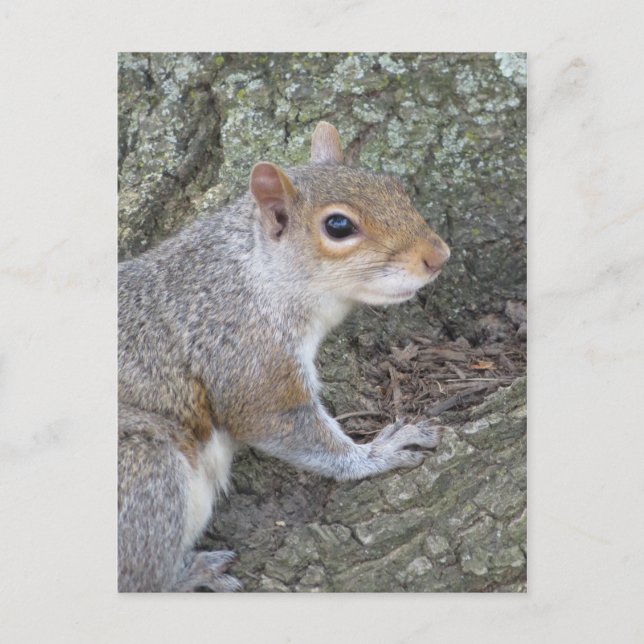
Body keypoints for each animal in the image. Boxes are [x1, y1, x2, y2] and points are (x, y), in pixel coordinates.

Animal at [118, 122, 451, 592]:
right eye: (338, 225)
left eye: (395, 186)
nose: (439, 256)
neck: (254, 270)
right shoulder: (246, 349)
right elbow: (277, 421)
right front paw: (377, 453)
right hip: (146, 473)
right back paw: (193, 572)